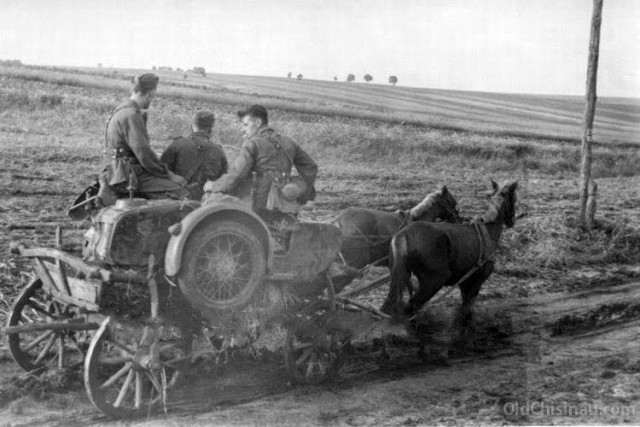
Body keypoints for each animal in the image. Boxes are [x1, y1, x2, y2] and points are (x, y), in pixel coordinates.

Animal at [380, 181, 520, 332]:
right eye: (514, 199)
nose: (512, 221)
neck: (488, 230)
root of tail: (403, 235)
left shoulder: (465, 282)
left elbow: (464, 310)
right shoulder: (476, 281)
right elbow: (467, 310)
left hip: (401, 277)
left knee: (391, 306)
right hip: (434, 280)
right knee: (412, 306)